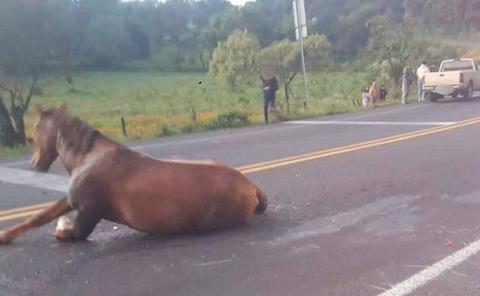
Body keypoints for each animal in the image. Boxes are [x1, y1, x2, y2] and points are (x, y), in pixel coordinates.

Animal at [0, 105, 266, 244]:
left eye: (36, 128)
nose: (35, 164)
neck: (85, 157)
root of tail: (251, 186)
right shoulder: (73, 201)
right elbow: (38, 217)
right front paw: (6, 235)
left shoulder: (87, 213)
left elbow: (59, 229)